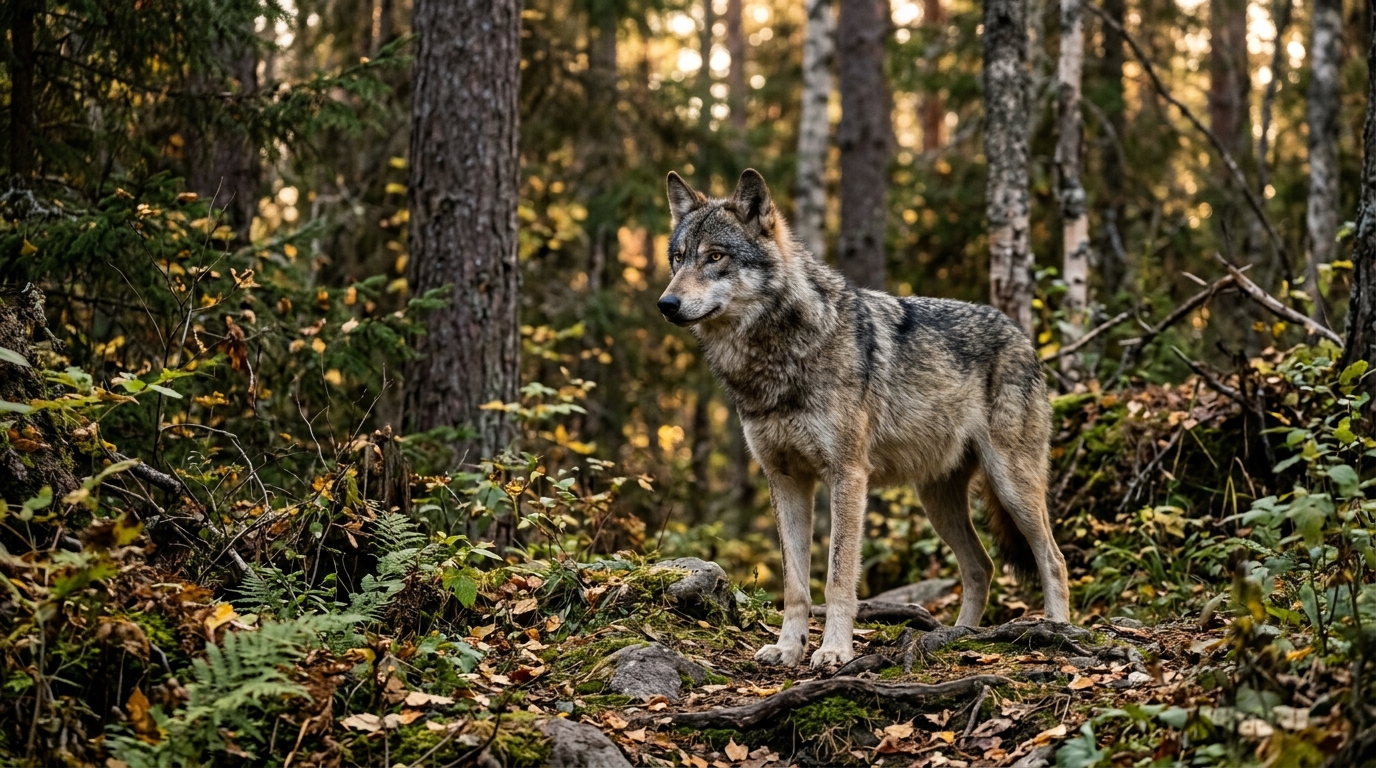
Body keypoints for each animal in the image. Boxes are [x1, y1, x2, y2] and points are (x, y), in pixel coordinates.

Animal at [656, 169, 1071, 668]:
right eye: (678, 258)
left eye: (715, 256)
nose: (666, 304)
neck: (776, 358)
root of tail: (1021, 334)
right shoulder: (785, 479)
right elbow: (795, 584)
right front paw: (788, 649)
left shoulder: (848, 475)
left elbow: (837, 579)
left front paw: (834, 650)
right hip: (938, 501)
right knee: (982, 567)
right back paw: (960, 637)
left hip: (1012, 485)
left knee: (1052, 558)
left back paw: (1057, 630)